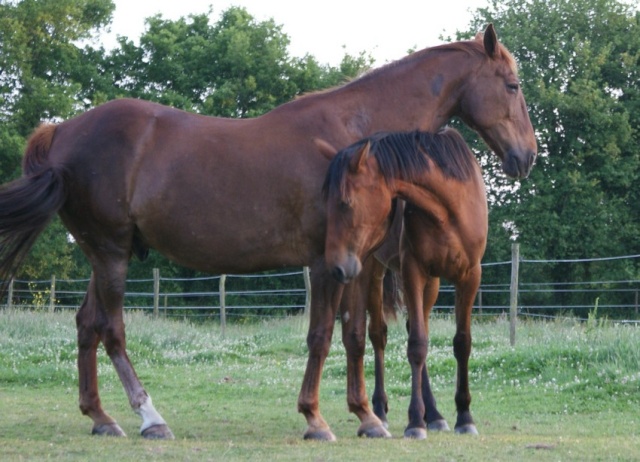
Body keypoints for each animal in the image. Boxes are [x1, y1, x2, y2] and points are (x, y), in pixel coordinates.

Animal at [322, 128, 488, 438]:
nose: (335, 263)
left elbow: (461, 343)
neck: (449, 207)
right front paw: (415, 422)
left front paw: (464, 416)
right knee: (378, 335)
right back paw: (380, 409)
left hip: (431, 283)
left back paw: (434, 414)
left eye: (345, 203)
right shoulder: (413, 271)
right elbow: (417, 346)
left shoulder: (470, 275)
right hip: (372, 273)